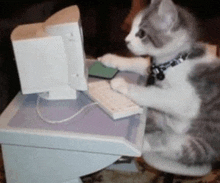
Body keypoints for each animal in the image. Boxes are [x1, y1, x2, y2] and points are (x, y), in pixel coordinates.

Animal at [98, 0, 220, 166]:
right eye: (131, 28)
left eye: (141, 33)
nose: (126, 40)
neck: (174, 62)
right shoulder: (153, 69)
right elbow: (139, 62)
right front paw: (112, 59)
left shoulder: (189, 99)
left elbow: (154, 94)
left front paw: (122, 84)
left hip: (199, 145)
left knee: (168, 146)